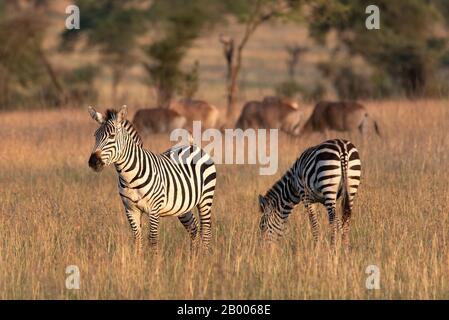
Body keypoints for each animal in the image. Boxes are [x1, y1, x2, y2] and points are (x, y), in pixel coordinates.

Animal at [88, 105, 217, 252]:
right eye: (95, 136)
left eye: (112, 136)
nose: (93, 162)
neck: (129, 178)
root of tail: (192, 146)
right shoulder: (130, 209)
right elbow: (137, 239)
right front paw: (137, 258)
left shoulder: (154, 209)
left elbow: (153, 239)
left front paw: (153, 259)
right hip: (183, 206)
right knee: (193, 228)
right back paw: (193, 256)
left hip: (206, 198)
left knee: (206, 230)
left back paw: (203, 255)